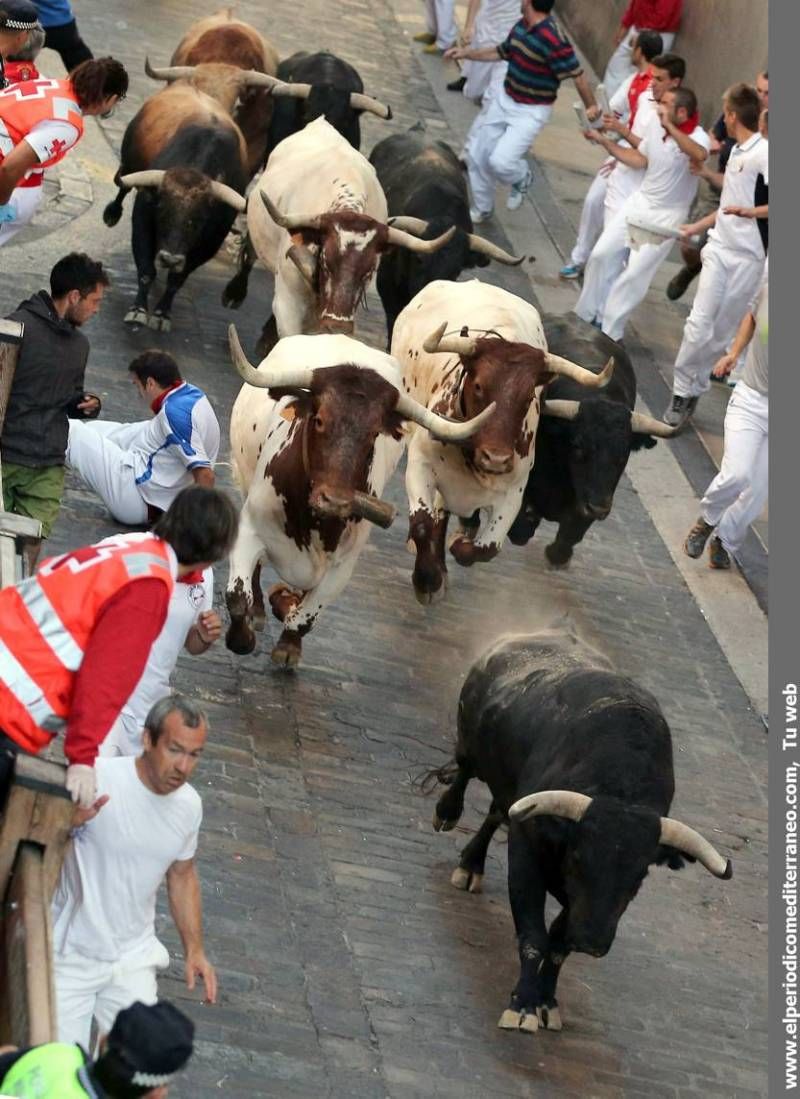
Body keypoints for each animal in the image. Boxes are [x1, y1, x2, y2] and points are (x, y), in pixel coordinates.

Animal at [430, 628, 729, 1028]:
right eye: (578, 858)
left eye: (639, 875)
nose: (592, 941)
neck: (619, 789)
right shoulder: (527, 858)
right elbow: (534, 937)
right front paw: (522, 1005)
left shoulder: (577, 902)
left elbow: (558, 945)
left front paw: (546, 1001)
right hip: (472, 747)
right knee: (465, 772)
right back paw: (450, 821)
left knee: (496, 812)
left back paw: (472, 863)